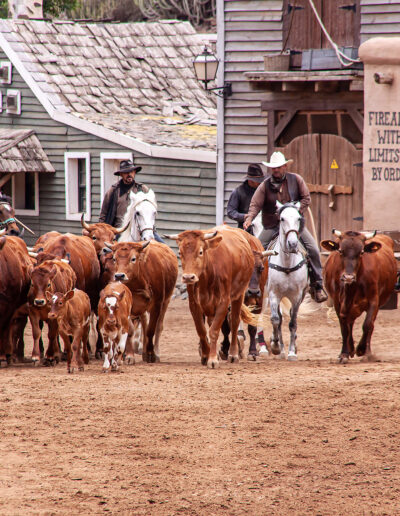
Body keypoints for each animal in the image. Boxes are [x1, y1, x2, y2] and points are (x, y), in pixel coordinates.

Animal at [266, 200, 310, 360]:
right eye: (282, 219)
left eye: (298, 218)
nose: (292, 244)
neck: (286, 264)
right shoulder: (273, 294)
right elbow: (275, 319)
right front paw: (275, 345)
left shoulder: (297, 297)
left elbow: (292, 323)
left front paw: (292, 352)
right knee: (279, 319)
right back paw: (280, 348)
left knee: (292, 318)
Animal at [322, 230, 396, 362]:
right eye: (340, 251)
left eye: (361, 252)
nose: (348, 277)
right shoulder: (338, 303)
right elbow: (344, 328)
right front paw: (344, 353)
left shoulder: (374, 301)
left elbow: (367, 325)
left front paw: (362, 350)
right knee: (349, 324)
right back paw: (350, 348)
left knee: (370, 325)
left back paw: (366, 351)